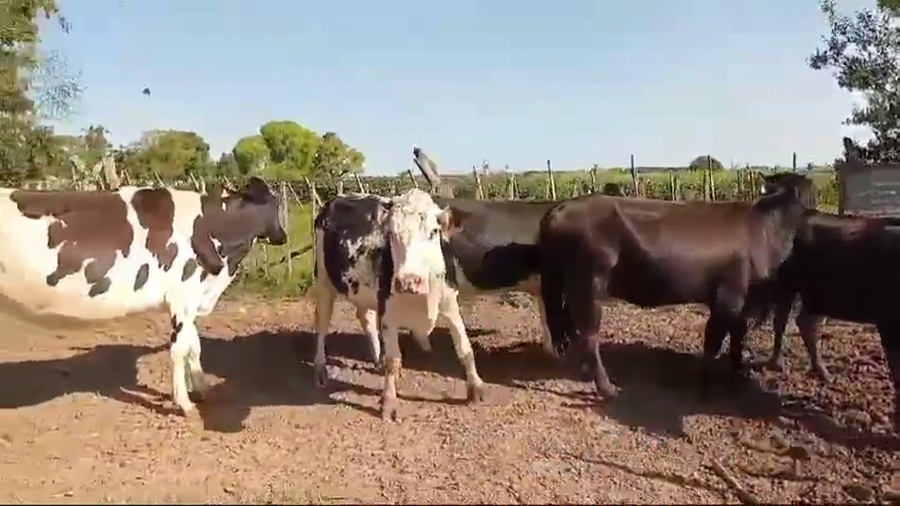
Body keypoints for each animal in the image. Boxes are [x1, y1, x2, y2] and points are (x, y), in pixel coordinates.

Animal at [0, 177, 287, 417]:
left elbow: (195, 345)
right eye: (274, 204)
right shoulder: (182, 296)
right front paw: (185, 404)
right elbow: (180, 350)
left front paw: (201, 389)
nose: (283, 236)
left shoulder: (192, 299)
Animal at [313, 188, 488, 421]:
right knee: (323, 323)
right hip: (323, 280)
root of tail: (339, 198)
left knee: (366, 318)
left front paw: (476, 388)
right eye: (392, 234)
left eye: (434, 231)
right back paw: (320, 368)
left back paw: (376, 359)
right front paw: (389, 403)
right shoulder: (389, 314)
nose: (408, 281)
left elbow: (465, 348)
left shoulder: (450, 304)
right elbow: (393, 360)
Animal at [536, 185, 809, 401]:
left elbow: (736, 336)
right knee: (588, 335)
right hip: (588, 285)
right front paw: (706, 383)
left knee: (567, 324)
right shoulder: (728, 296)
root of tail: (562, 206)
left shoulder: (739, 303)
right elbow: (714, 340)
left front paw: (738, 372)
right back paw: (606, 387)